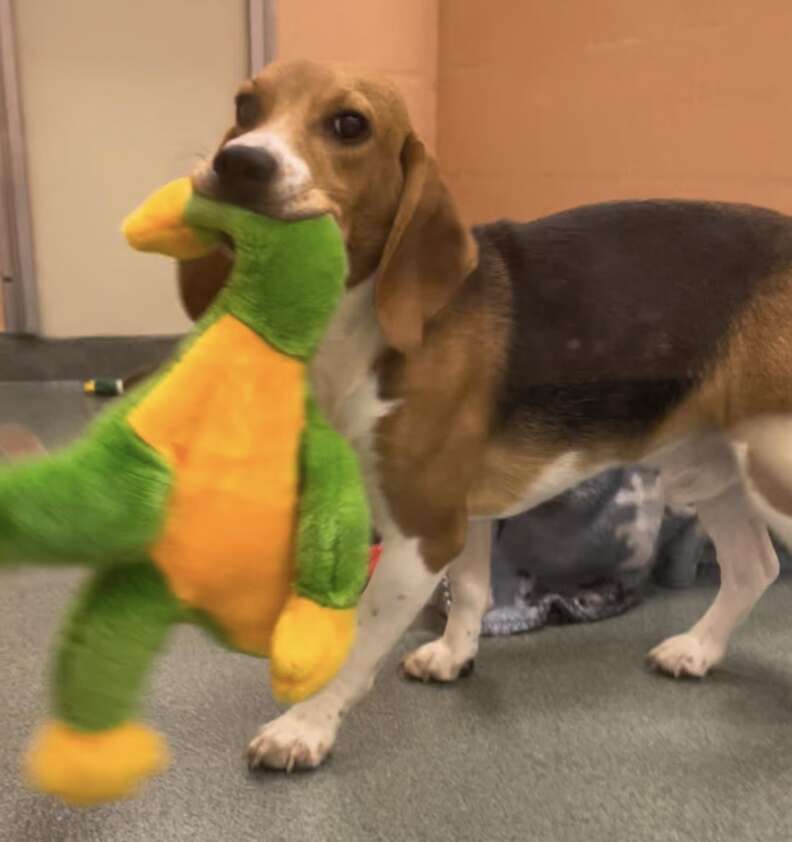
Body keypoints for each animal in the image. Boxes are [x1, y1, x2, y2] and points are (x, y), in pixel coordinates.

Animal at [181, 57, 792, 768]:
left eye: (349, 125)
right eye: (245, 106)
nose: (240, 161)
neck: (361, 320)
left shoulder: (420, 530)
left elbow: (358, 637)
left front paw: (305, 726)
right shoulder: (457, 515)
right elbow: (471, 590)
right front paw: (453, 655)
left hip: (773, 468)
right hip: (710, 470)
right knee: (754, 568)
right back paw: (697, 649)